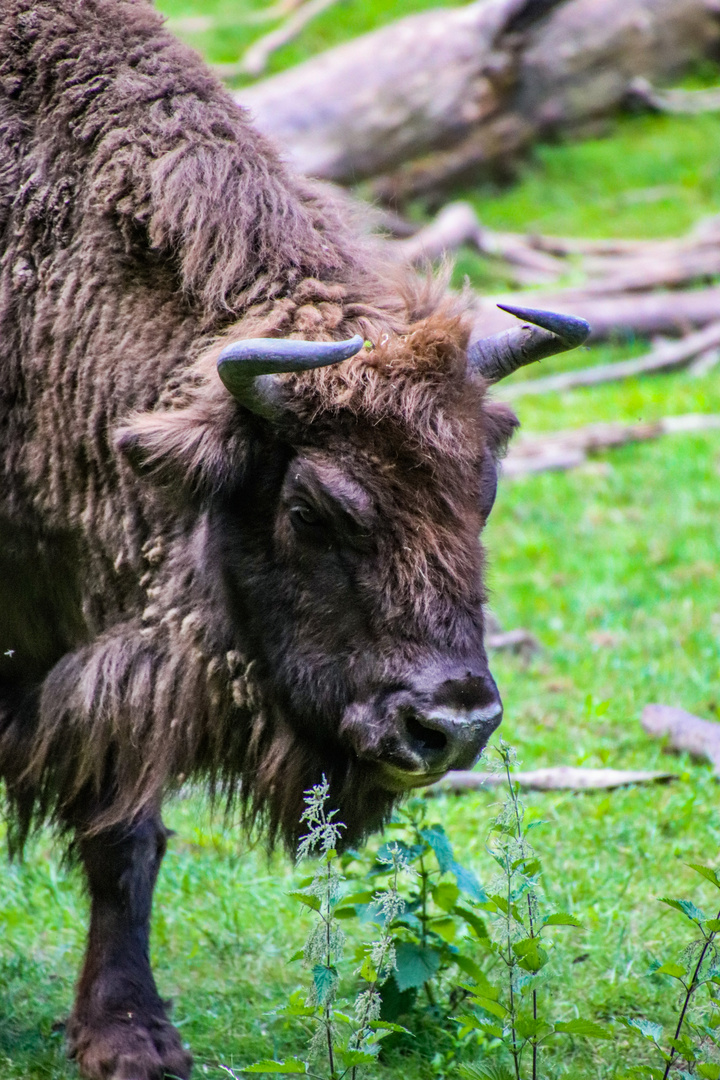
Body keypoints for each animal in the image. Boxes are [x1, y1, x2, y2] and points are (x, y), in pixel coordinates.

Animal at [0, 2, 587, 1080]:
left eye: (482, 492)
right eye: (313, 508)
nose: (449, 726)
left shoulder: (101, 648)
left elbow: (124, 832)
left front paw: (130, 1036)